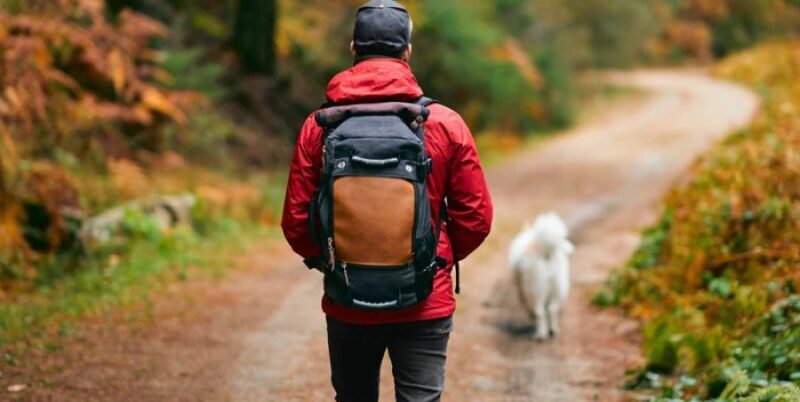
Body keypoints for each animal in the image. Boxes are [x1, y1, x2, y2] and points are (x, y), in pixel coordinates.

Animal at [510, 212, 572, 340]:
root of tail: (546, 252)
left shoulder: (522, 289)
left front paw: (531, 316)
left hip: (535, 291)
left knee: (540, 312)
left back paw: (540, 335)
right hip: (557, 288)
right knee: (552, 309)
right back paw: (553, 330)